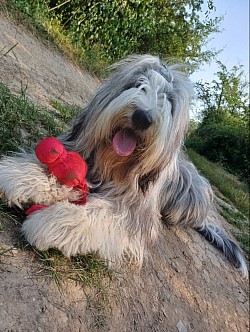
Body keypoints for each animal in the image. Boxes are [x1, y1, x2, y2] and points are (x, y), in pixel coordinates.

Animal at [0, 55, 247, 278]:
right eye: (137, 83)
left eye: (168, 99)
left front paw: (54, 221)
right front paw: (19, 177)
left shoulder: (135, 211)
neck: (114, 165)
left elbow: (101, 213)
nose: (142, 117)